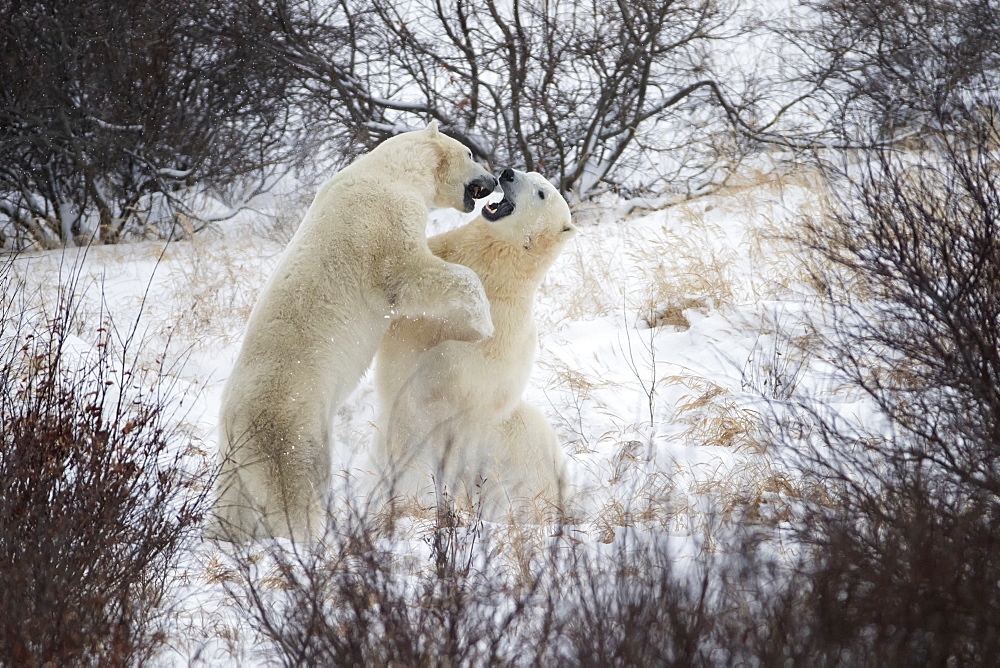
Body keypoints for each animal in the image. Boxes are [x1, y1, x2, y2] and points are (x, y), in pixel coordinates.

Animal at [204, 124, 500, 544]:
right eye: (471, 155)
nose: (494, 179)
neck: (391, 170)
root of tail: (232, 420)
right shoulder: (383, 220)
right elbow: (410, 275)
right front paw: (482, 321)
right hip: (291, 424)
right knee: (295, 485)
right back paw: (313, 539)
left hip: (237, 457)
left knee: (234, 503)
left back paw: (223, 535)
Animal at [376, 168, 580, 520]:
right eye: (530, 173)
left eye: (541, 193)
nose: (507, 173)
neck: (494, 272)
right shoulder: (441, 255)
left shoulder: (505, 323)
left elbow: (474, 362)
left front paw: (422, 377)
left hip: (514, 457)